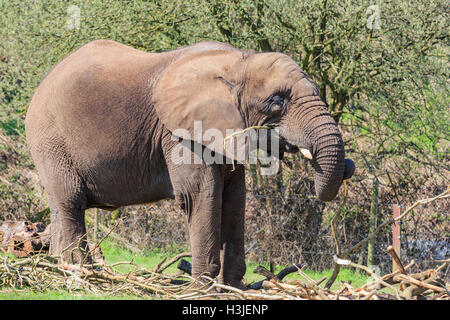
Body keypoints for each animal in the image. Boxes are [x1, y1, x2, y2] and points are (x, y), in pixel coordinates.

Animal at [25, 40, 356, 288]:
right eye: (277, 102)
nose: (350, 166)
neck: (238, 61)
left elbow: (234, 198)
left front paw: (232, 289)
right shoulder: (181, 134)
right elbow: (200, 196)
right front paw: (201, 291)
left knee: (61, 206)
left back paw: (57, 266)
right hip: (50, 140)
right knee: (71, 201)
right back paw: (79, 273)